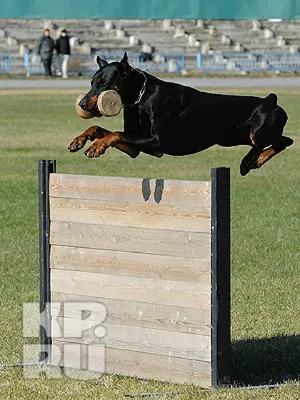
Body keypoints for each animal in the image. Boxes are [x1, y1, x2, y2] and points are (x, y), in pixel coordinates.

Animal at [68, 52, 292, 174]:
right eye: (91, 82)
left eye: (103, 83)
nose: (83, 104)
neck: (141, 98)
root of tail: (271, 100)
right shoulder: (135, 147)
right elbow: (101, 129)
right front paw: (80, 140)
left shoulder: (156, 142)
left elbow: (114, 133)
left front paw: (96, 147)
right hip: (233, 137)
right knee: (276, 142)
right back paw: (252, 161)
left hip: (258, 131)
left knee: (283, 141)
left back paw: (252, 160)